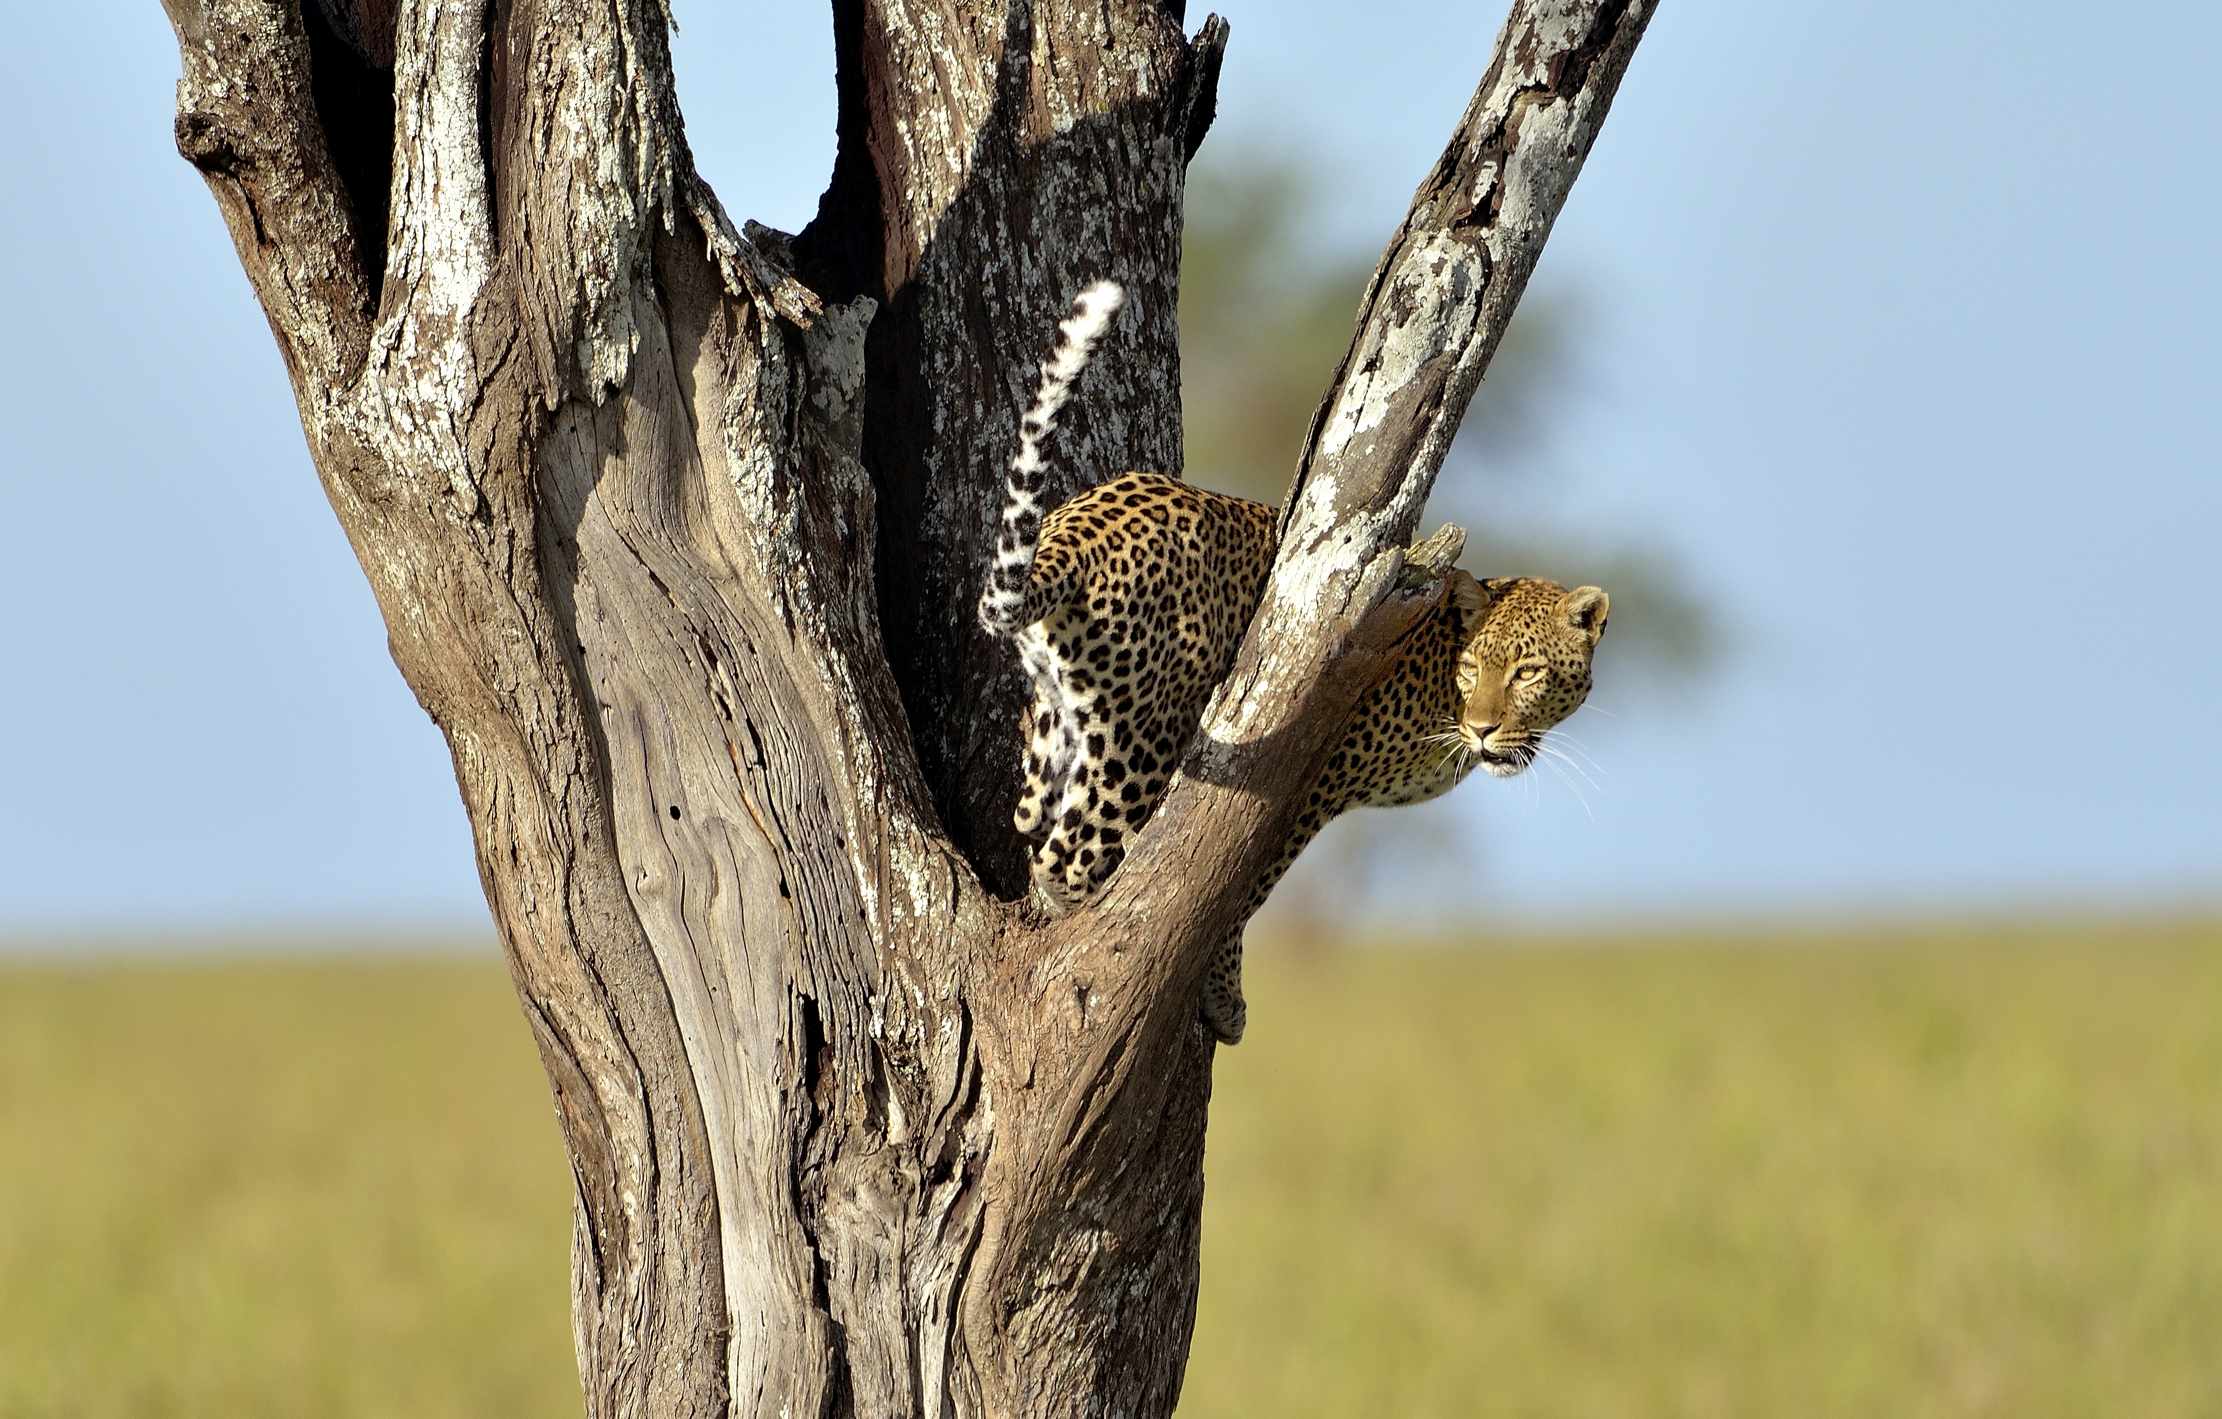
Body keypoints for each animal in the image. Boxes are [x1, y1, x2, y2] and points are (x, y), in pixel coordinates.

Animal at [979, 282, 1609, 1043]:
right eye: (1472, 668)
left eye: (1527, 673)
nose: (1486, 729)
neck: (1442, 702)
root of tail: (1075, 527)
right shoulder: (1305, 786)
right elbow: (1241, 893)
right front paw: (1222, 992)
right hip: (1148, 733)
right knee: (1069, 858)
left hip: (1059, 717)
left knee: (1029, 822)